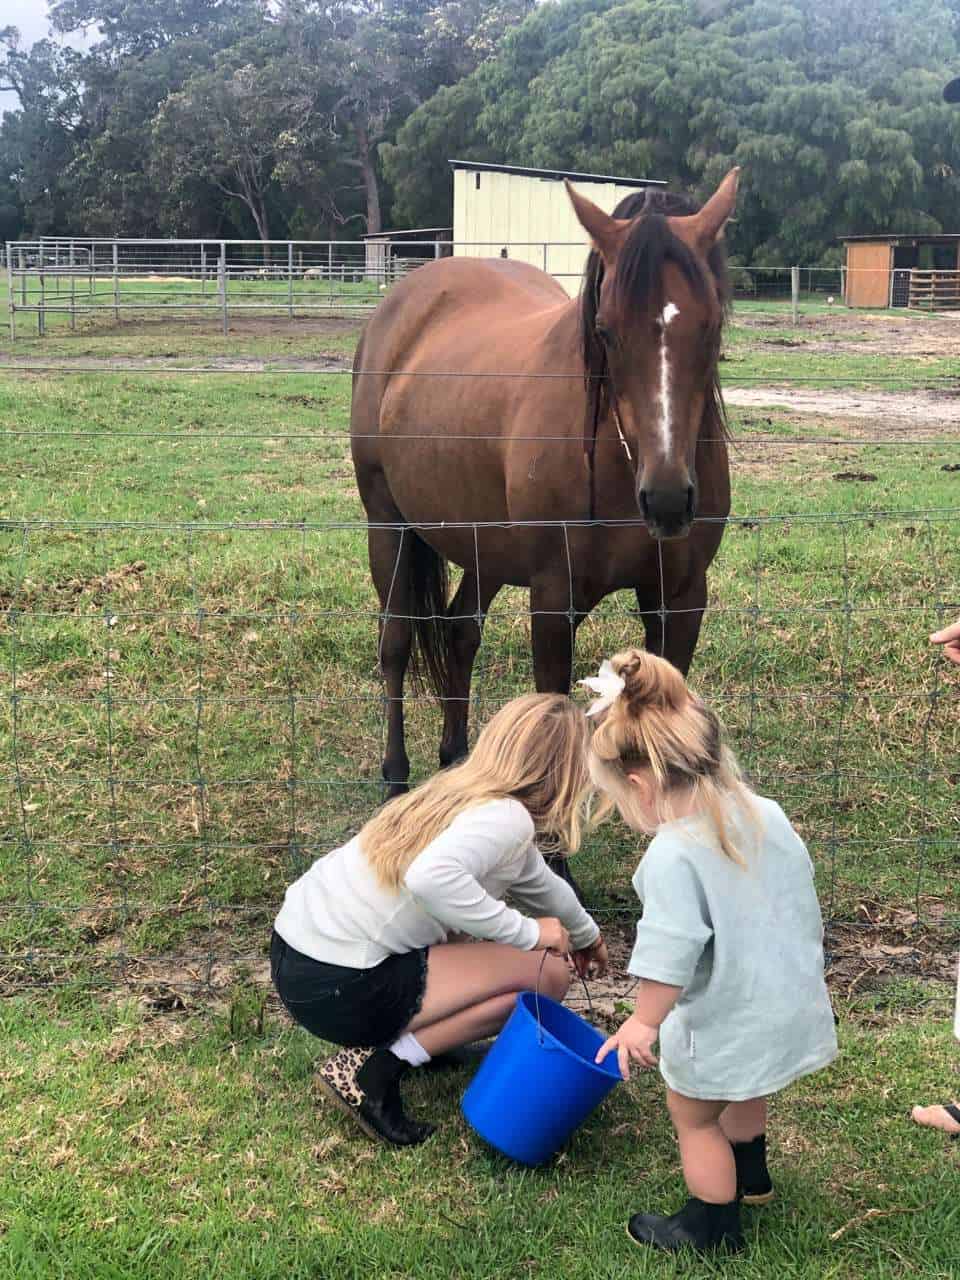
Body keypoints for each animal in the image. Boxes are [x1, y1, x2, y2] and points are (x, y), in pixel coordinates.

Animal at [350, 170, 737, 788]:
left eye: (712, 324)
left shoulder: (678, 600)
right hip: (387, 525)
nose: (668, 499)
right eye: (606, 329)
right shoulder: (553, 602)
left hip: (483, 547)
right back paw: (395, 772)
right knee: (396, 641)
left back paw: (455, 755)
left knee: (461, 631)